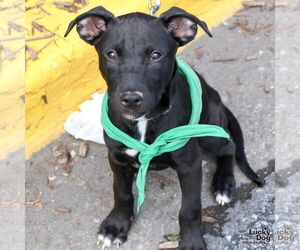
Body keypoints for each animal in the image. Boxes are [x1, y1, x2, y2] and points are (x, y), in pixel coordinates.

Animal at [64, 5, 264, 250]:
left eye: (155, 55)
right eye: (111, 54)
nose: (131, 99)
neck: (144, 121)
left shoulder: (189, 164)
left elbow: (190, 208)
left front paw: (191, 241)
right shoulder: (117, 158)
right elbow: (121, 193)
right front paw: (115, 226)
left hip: (210, 131)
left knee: (229, 146)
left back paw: (223, 185)